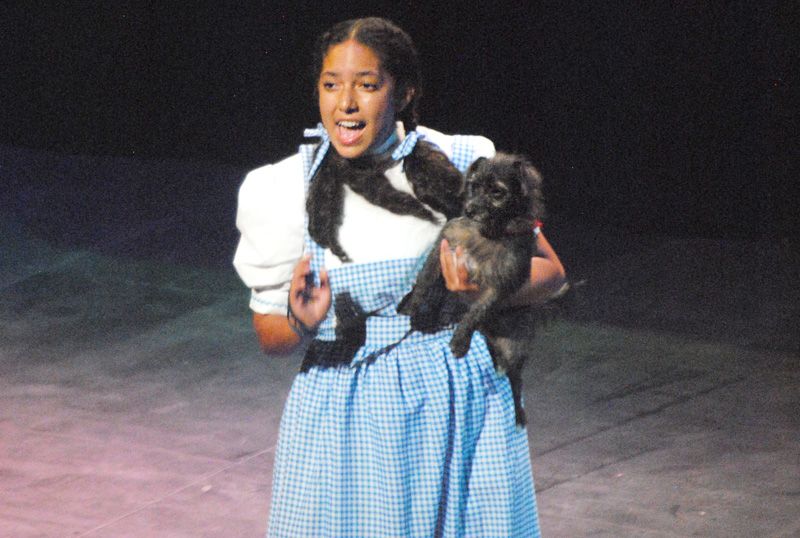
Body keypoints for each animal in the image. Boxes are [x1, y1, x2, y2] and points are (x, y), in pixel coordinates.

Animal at [400, 152, 552, 428]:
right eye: (474, 186)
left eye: (497, 192)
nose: (470, 210)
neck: (489, 233)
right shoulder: (443, 249)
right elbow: (426, 282)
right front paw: (415, 309)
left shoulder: (501, 284)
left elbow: (478, 310)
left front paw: (460, 339)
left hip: (514, 347)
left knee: (515, 377)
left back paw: (518, 412)